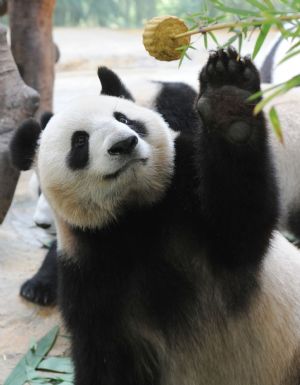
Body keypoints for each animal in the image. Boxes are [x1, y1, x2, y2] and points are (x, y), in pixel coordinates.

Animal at [9, 48, 300, 384]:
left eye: (123, 119)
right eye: (79, 141)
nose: (124, 144)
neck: (137, 214)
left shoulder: (187, 172)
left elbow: (240, 225)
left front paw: (228, 103)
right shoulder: (93, 273)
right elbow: (106, 355)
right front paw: (38, 285)